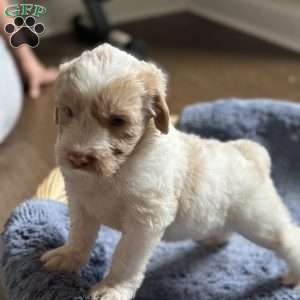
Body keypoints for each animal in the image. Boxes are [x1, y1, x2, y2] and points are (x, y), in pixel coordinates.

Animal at [41, 43, 300, 298]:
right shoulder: (80, 205)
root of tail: (249, 153)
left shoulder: (144, 222)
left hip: (260, 221)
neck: (118, 170)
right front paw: (68, 257)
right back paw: (214, 238)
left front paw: (113, 287)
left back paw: (294, 275)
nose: (77, 157)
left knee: (289, 239)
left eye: (118, 120)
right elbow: (80, 236)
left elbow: (125, 258)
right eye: (68, 111)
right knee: (227, 229)